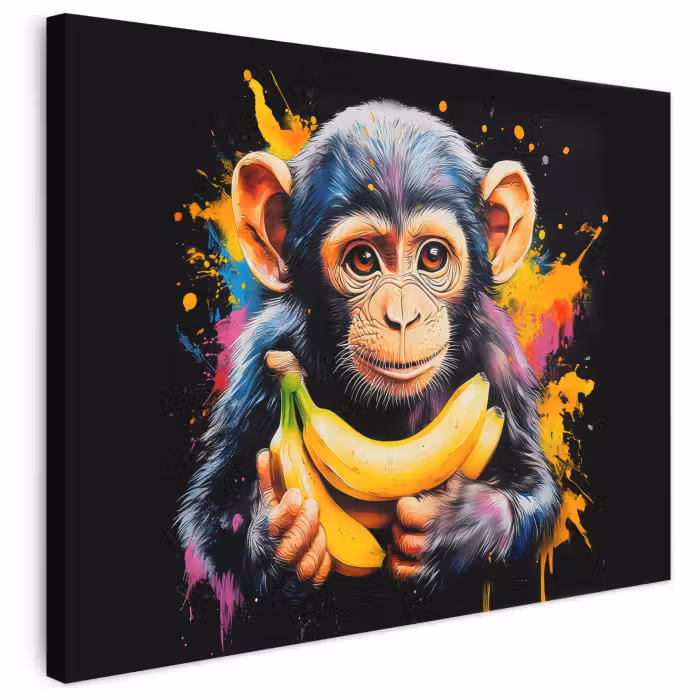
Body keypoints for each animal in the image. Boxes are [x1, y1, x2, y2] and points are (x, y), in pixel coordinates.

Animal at [177, 101, 560, 626]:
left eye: (433, 257)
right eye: (362, 261)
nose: (401, 315)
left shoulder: (501, 358)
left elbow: (535, 485)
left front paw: (453, 530)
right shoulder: (260, 358)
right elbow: (210, 511)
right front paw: (282, 541)